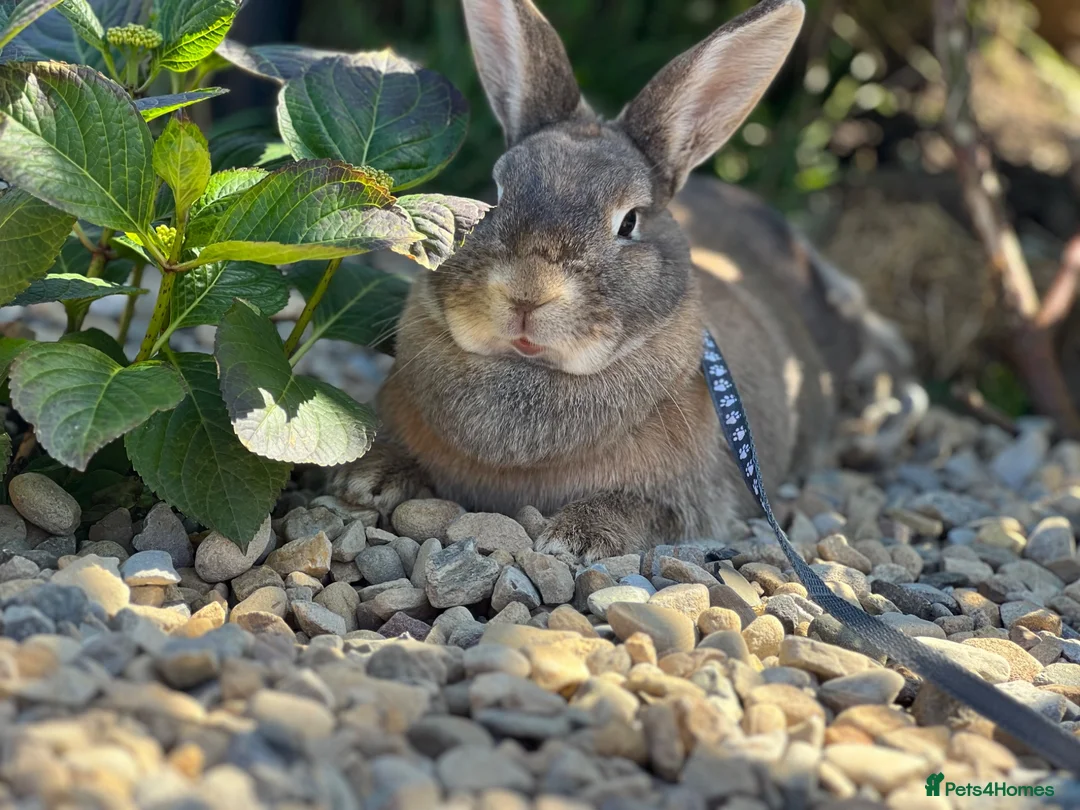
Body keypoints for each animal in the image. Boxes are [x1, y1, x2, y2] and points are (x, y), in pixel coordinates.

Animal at [329, 0, 912, 561]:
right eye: (494, 194)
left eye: (629, 222)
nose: (527, 293)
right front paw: (370, 480)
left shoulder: (686, 503)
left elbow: (641, 511)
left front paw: (578, 538)